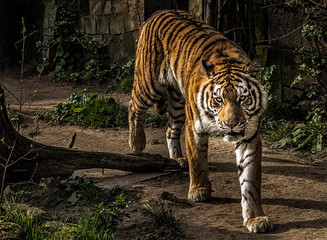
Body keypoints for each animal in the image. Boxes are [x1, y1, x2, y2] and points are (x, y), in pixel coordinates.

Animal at [128, 10, 274, 233]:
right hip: (149, 84)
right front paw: (199, 190)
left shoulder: (249, 137)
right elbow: (198, 160)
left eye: (242, 98)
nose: (231, 124)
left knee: (170, 129)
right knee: (133, 106)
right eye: (219, 99)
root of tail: (156, 13)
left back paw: (177, 158)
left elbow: (250, 181)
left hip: (178, 102)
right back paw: (136, 145)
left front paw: (256, 218)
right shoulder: (195, 128)